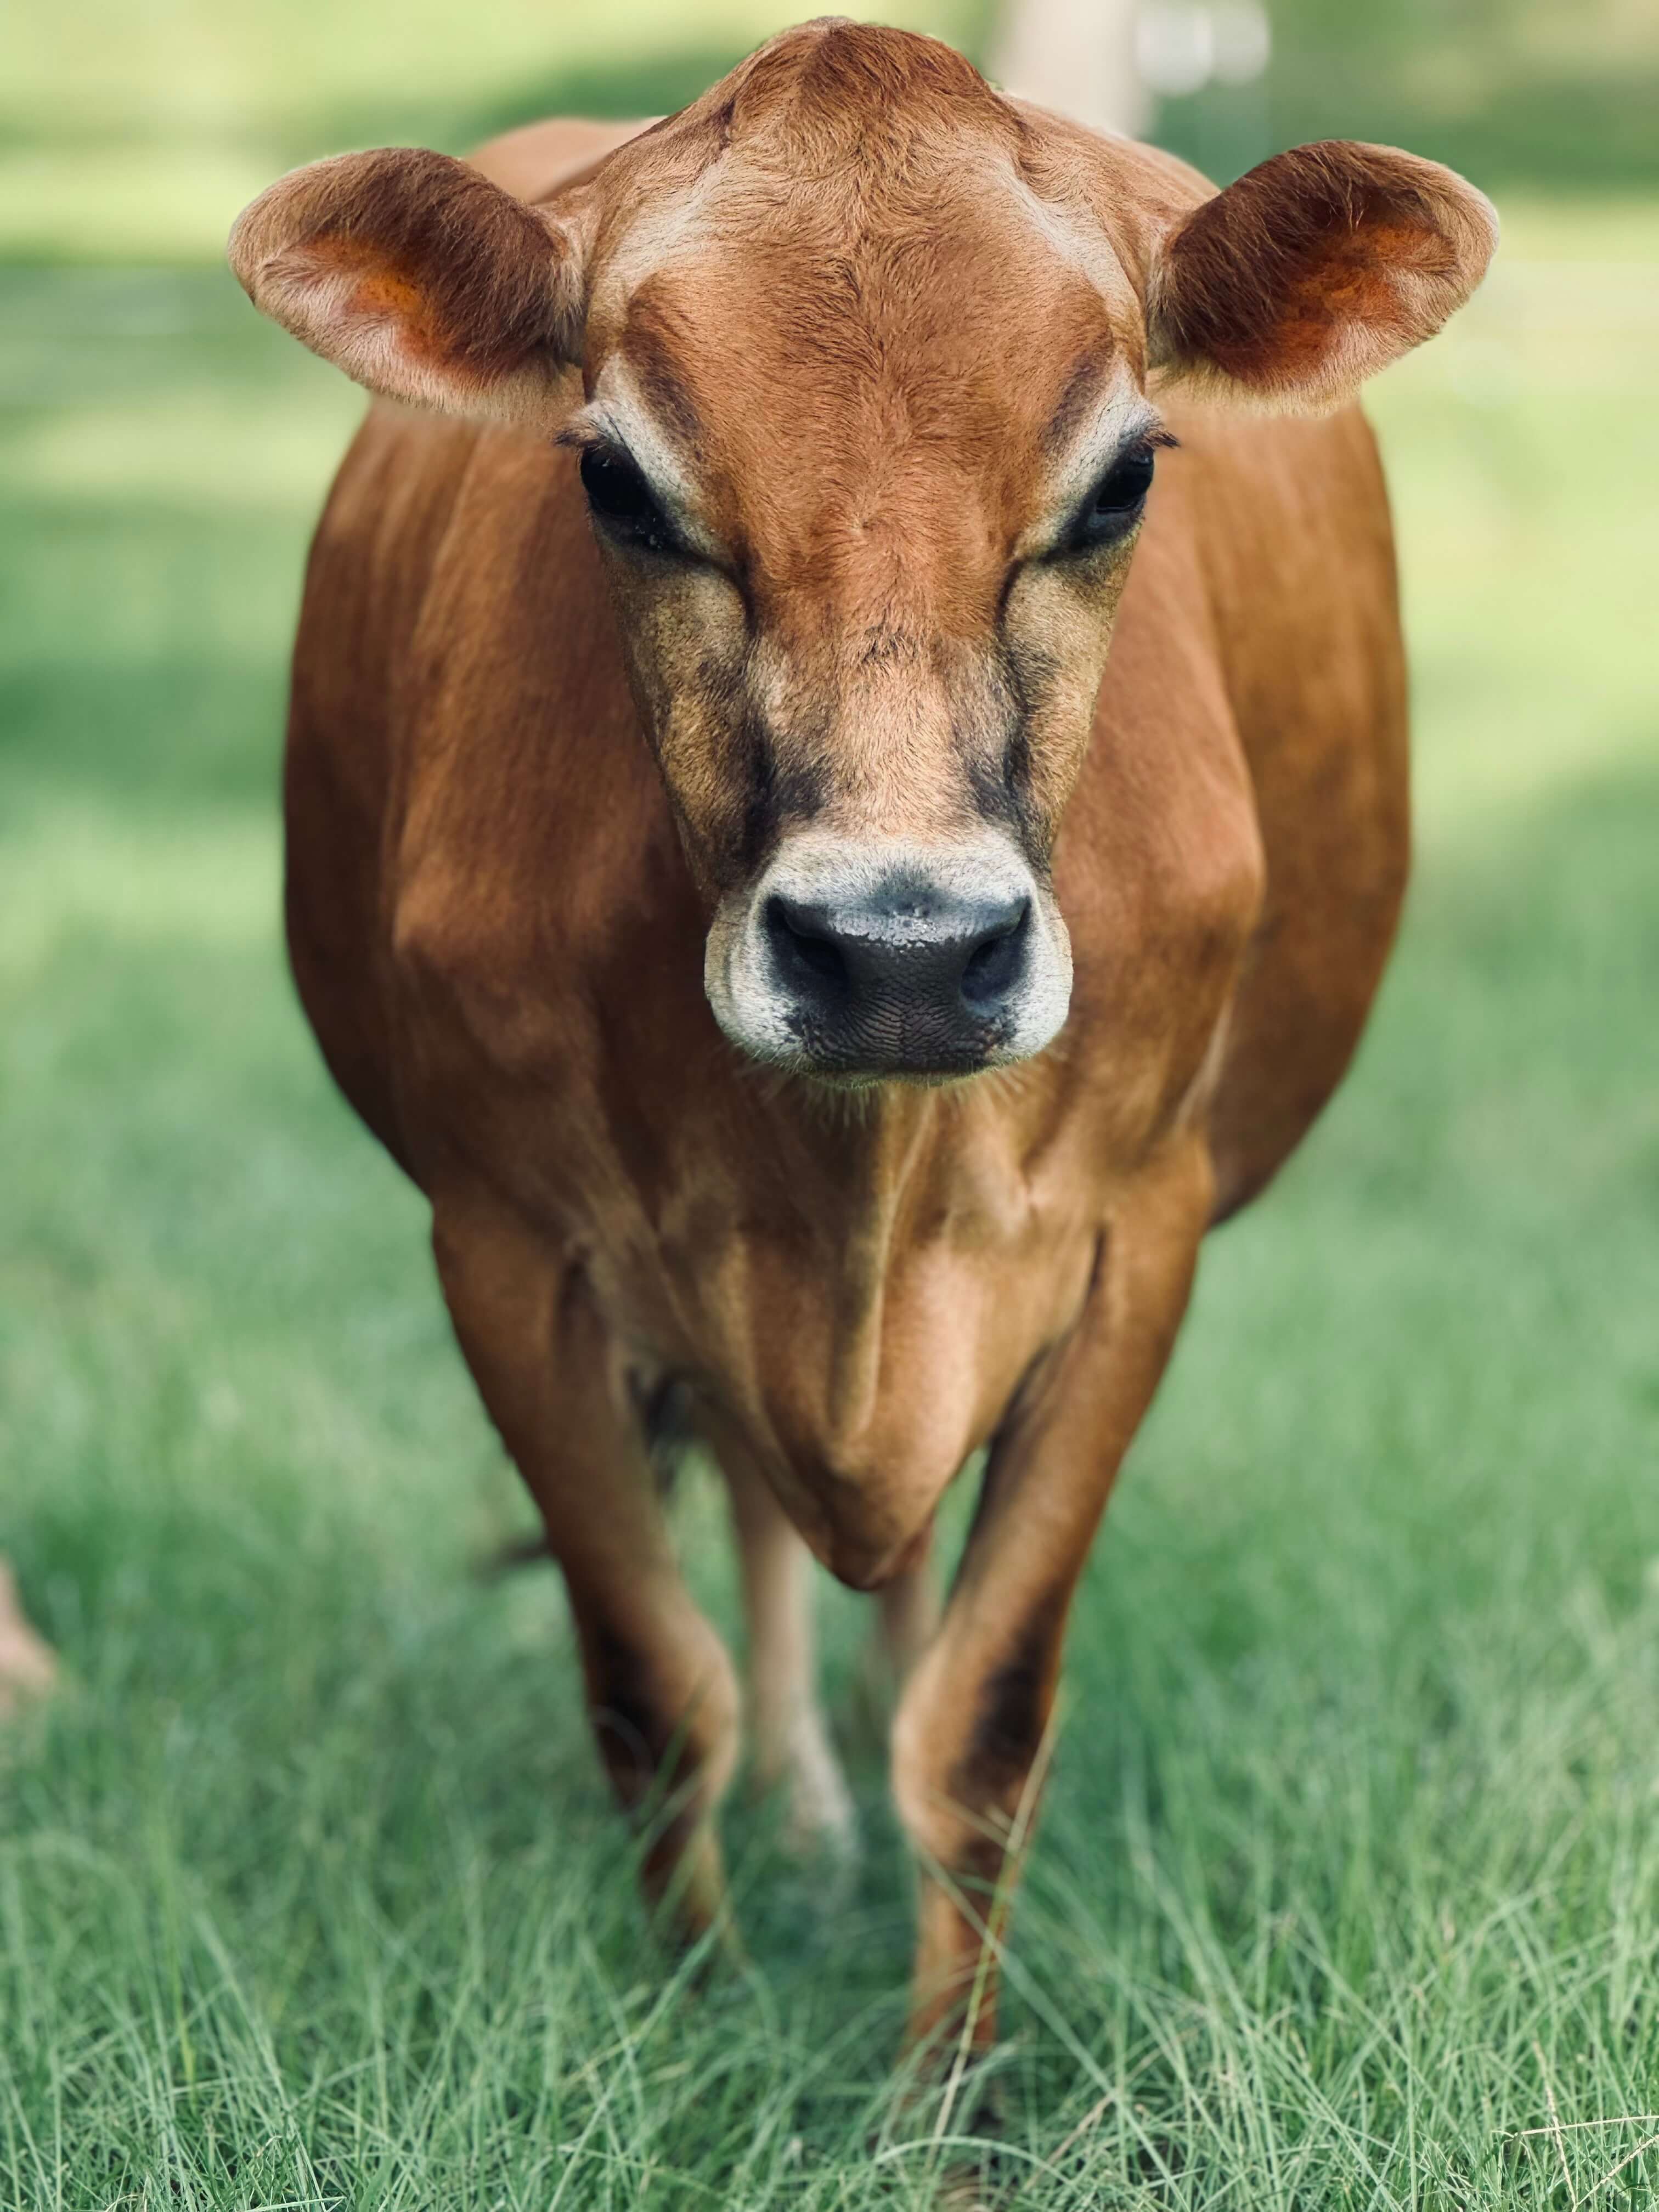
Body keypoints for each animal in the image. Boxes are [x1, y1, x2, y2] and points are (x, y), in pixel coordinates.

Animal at [229, 18, 1495, 2073]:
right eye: (616, 479)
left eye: (1122, 480)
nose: (899, 952)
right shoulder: (502, 1244)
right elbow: (653, 1695)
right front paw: (691, 2040)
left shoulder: (1134, 1241)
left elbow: (981, 1722)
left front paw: (940, 2097)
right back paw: (811, 1821)